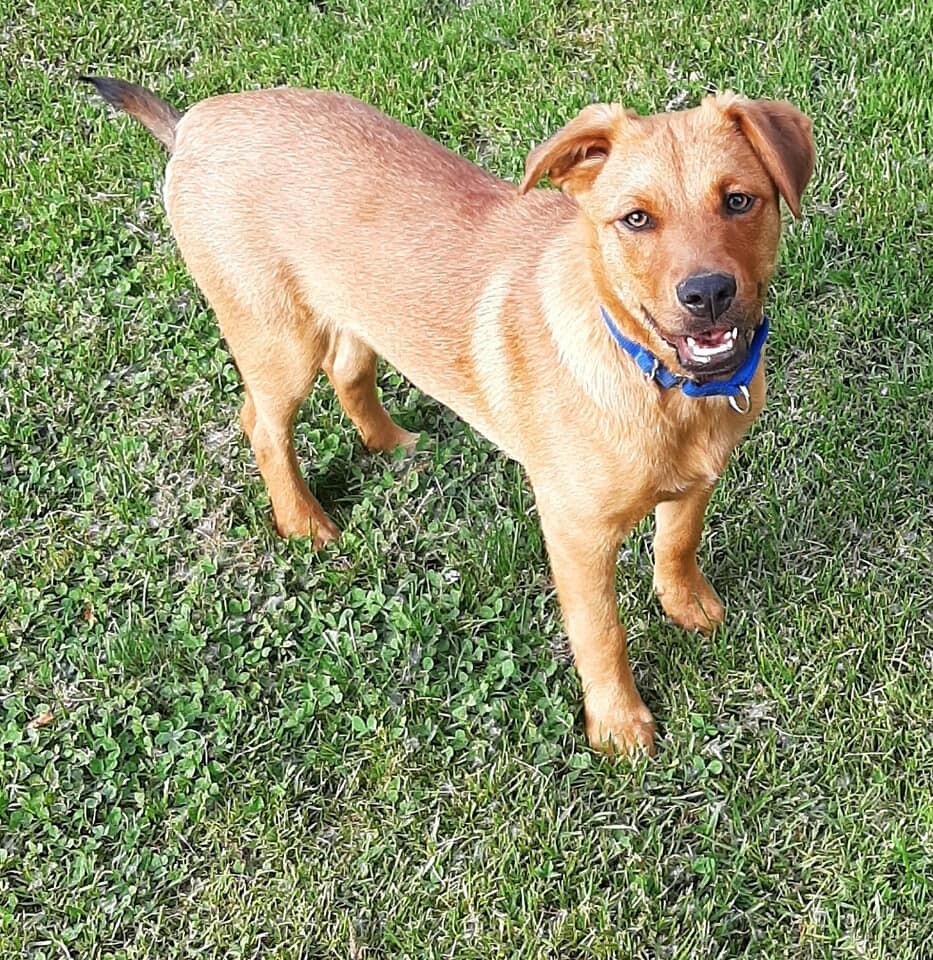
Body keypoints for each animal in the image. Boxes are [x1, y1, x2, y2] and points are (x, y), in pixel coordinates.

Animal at [83, 75, 812, 752]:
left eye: (738, 200)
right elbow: (600, 634)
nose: (707, 294)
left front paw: (685, 603)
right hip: (278, 339)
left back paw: (390, 442)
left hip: (353, 312)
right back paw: (304, 521)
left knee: (346, 370)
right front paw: (617, 723)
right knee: (262, 426)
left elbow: (676, 541)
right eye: (635, 220)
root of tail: (196, 121)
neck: (659, 382)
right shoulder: (576, 536)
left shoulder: (696, 480)